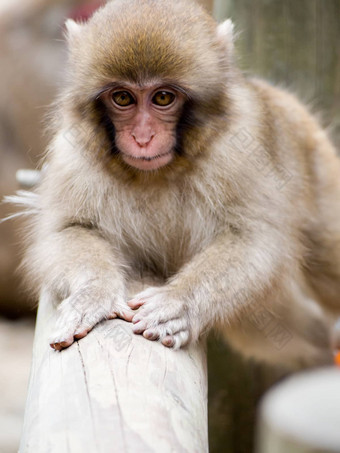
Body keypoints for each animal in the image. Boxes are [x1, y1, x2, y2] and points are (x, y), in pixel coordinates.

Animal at [11, 0, 340, 364]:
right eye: (123, 98)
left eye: (163, 98)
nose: (142, 138)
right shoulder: (72, 154)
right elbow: (69, 229)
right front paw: (92, 294)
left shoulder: (239, 150)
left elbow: (255, 238)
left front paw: (179, 303)